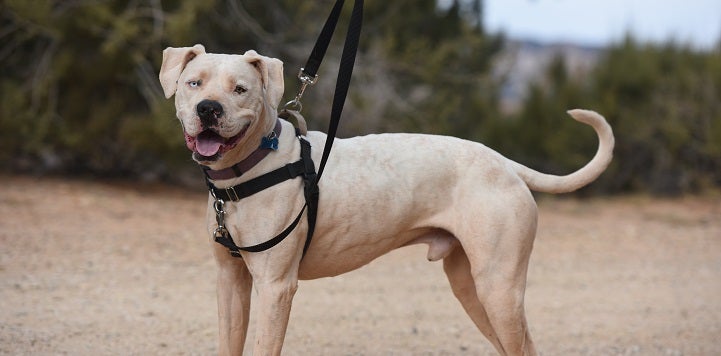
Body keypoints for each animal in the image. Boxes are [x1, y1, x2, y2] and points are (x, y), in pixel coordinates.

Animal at [159, 45, 612, 356]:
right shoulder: (230, 282)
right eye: (194, 82)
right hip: (471, 286)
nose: (209, 108)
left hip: (500, 289)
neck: (252, 166)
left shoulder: (275, 287)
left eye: (240, 89)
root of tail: (503, 162)